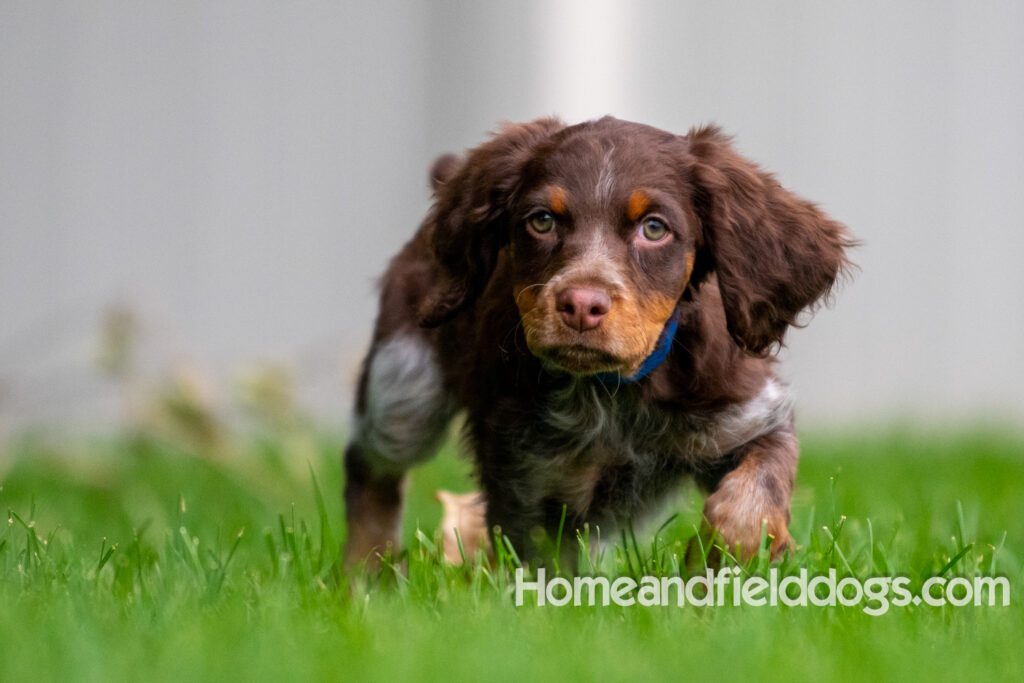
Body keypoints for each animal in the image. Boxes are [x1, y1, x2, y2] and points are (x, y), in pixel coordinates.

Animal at [344, 118, 856, 573]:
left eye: (654, 228)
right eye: (542, 221)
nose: (580, 305)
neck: (616, 391)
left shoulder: (751, 413)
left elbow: (754, 499)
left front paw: (718, 561)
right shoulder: (524, 482)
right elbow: (541, 573)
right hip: (405, 386)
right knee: (369, 467)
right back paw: (366, 577)